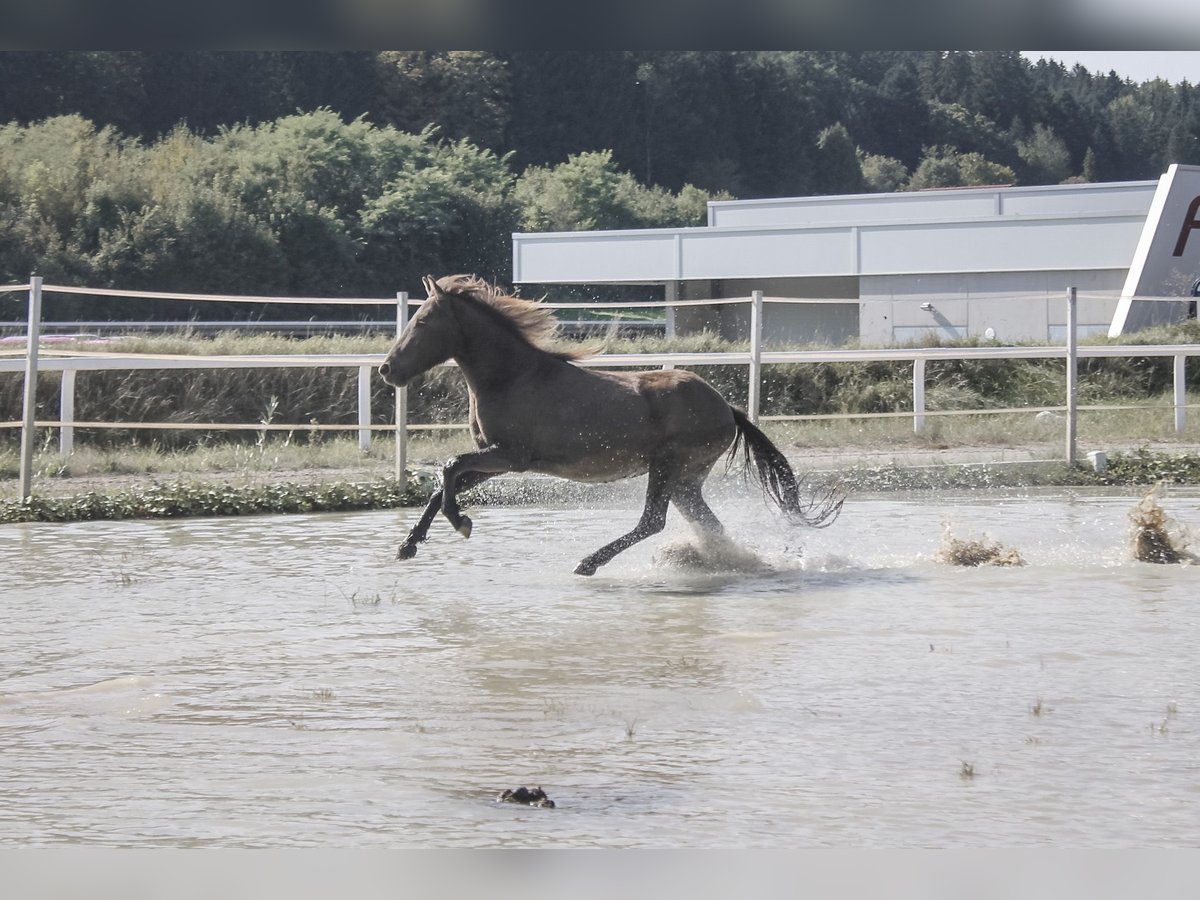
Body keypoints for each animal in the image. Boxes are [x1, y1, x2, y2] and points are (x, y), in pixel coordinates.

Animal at [376, 271, 844, 578]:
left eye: (422, 321)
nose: (386, 369)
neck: (512, 376)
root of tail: (727, 408)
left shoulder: (509, 456)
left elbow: (449, 467)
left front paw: (462, 523)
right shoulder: (496, 460)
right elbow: (443, 483)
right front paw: (407, 546)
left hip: (669, 465)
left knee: (652, 521)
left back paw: (589, 563)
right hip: (686, 479)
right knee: (706, 525)